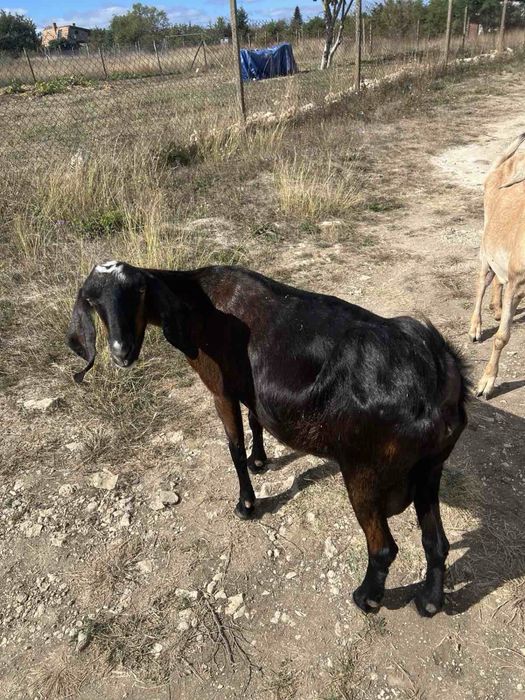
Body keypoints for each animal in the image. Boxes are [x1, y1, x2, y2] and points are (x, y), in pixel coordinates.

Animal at [68, 261, 468, 617]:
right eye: (94, 301)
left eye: (138, 291)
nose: (121, 351)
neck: (200, 302)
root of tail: (438, 381)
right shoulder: (249, 387)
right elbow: (255, 418)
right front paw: (260, 461)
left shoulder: (221, 389)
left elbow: (233, 446)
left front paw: (246, 504)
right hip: (431, 466)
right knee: (436, 542)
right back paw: (430, 602)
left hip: (363, 470)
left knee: (383, 547)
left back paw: (366, 598)